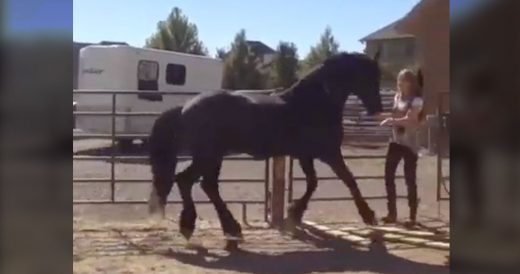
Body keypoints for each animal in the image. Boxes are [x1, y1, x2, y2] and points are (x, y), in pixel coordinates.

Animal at [148, 51, 384, 248]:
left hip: (213, 157)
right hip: (208, 156)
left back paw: (226, 229)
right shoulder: (330, 153)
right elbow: (349, 180)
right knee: (187, 180)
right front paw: (368, 216)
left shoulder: (306, 155)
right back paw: (199, 226)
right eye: (367, 76)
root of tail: (185, 108)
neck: (313, 104)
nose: (377, 108)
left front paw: (294, 215)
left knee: (206, 185)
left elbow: (313, 183)